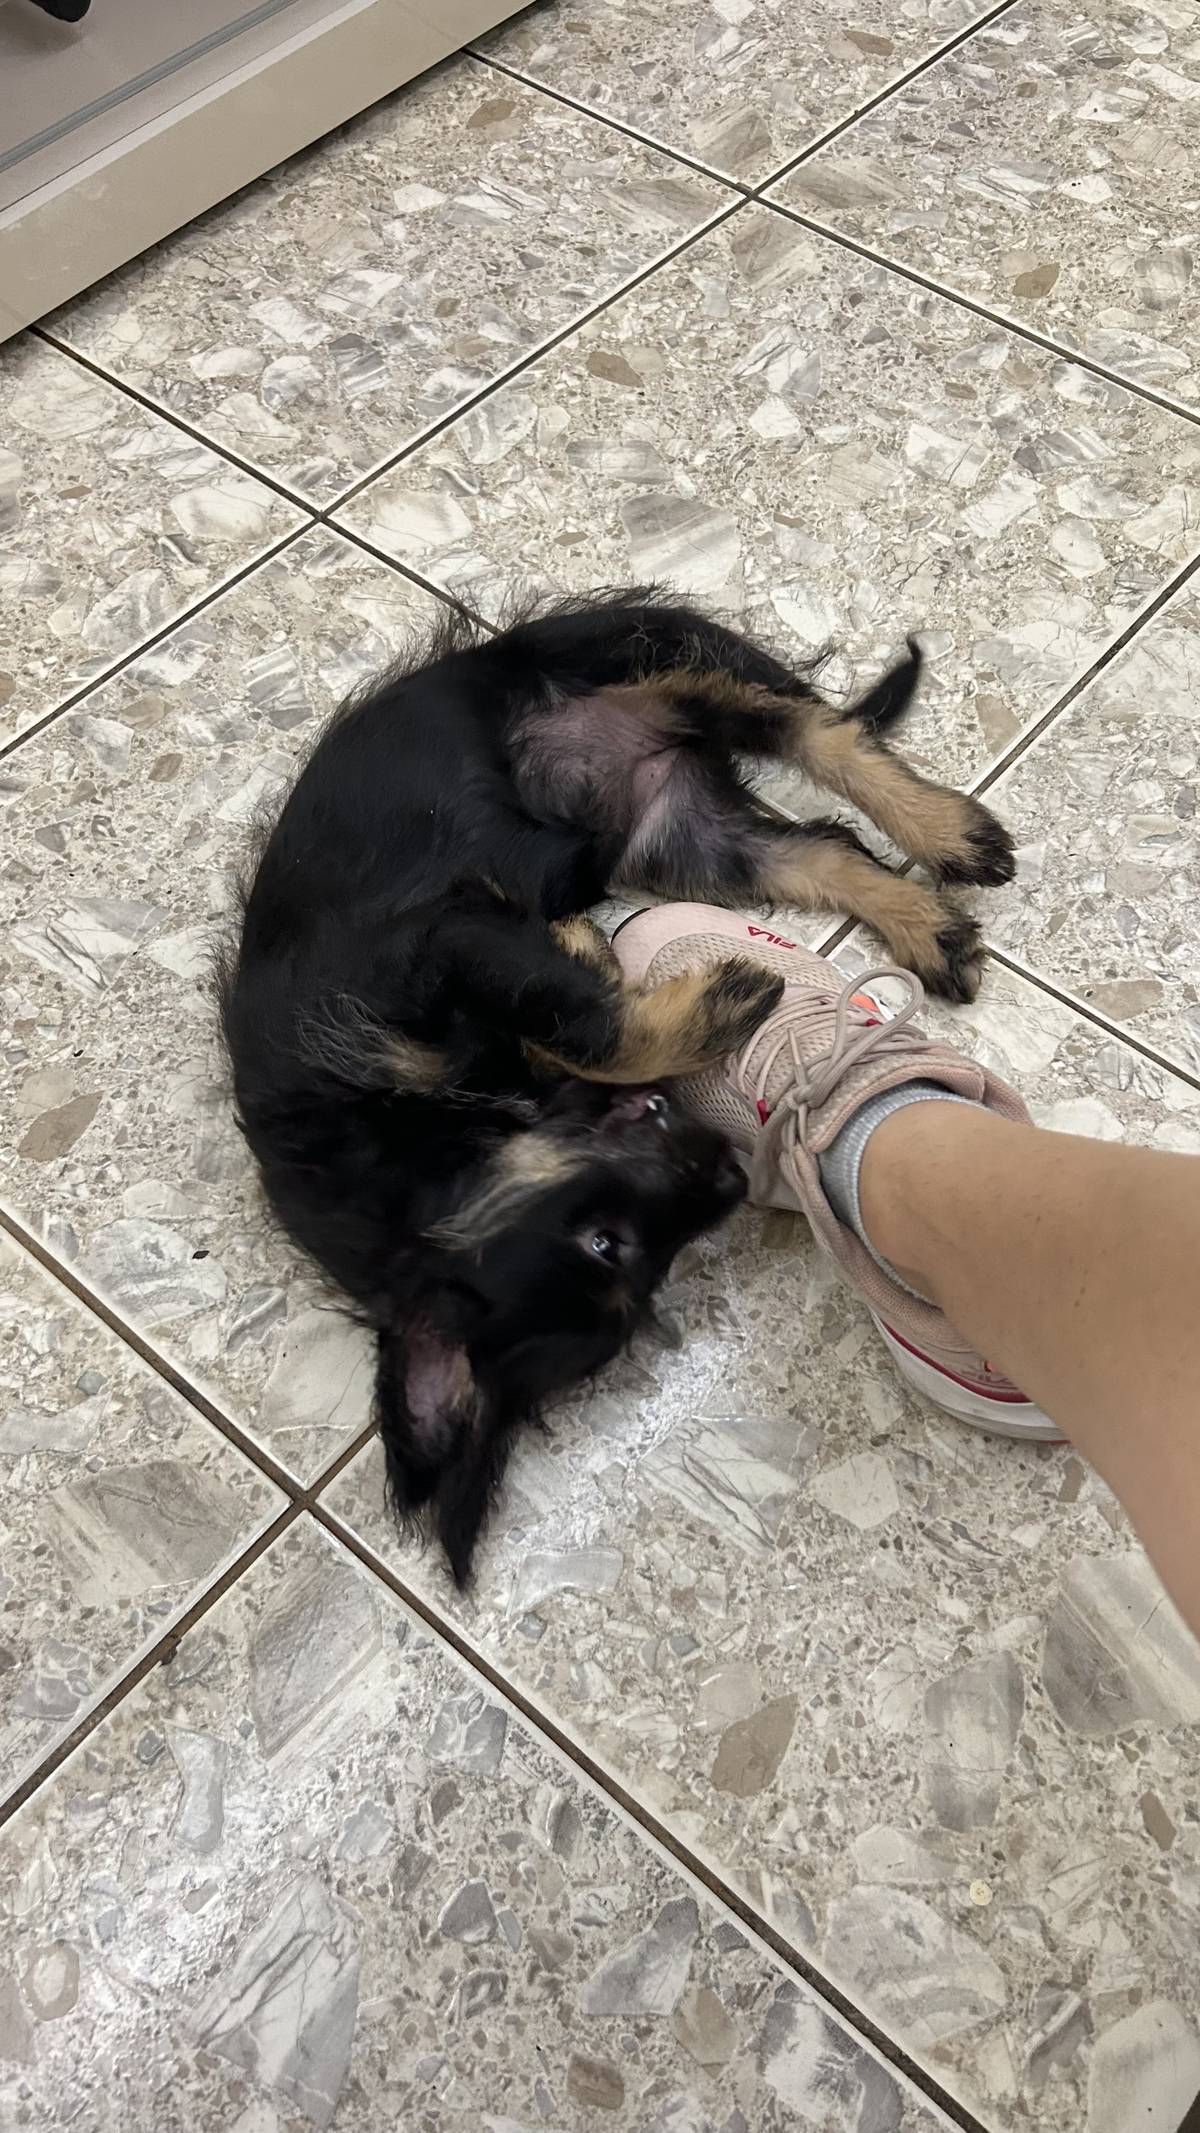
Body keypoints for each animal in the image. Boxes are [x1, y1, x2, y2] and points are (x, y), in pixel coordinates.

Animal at [220, 588, 1013, 1582]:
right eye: (619, 1253)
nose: (720, 1171)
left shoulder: (446, 940)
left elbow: (582, 1023)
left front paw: (709, 999)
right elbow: (582, 1014)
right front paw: (609, 958)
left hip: (652, 662)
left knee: (820, 732)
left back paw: (950, 832)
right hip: (690, 842)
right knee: (823, 849)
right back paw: (924, 924)